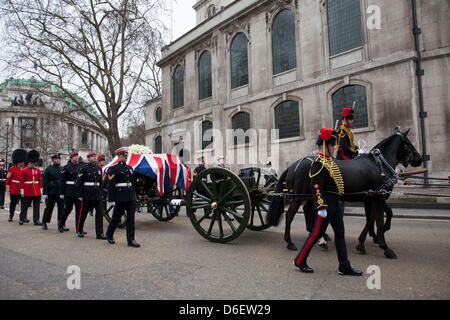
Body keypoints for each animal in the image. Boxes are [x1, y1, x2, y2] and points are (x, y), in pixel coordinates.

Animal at [268, 127, 424, 258]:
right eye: (408, 144)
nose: (419, 159)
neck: (378, 166)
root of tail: (292, 166)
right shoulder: (378, 198)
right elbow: (379, 221)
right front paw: (385, 246)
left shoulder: (369, 198)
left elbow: (371, 219)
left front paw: (363, 242)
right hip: (298, 197)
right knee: (290, 215)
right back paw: (291, 241)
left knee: (309, 211)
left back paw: (319, 236)